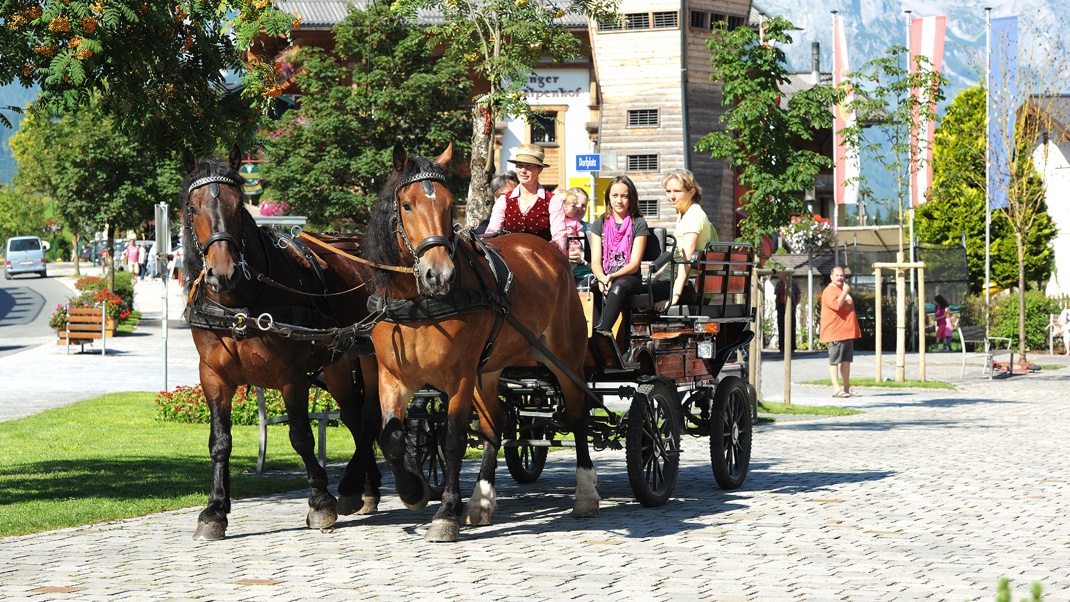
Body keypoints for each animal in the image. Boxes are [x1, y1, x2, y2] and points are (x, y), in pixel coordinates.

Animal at [181, 147, 383, 541]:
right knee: (354, 417)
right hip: (339, 363)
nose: (222, 273)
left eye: (238, 205)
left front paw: (320, 502)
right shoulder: (213, 377)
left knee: (370, 417)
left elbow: (301, 436)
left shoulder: (291, 377)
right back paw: (364, 488)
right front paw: (215, 510)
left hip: (372, 357)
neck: (239, 305)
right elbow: (219, 442)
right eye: (194, 208)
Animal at [361, 144, 599, 541]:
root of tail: (548, 252)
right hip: (488, 373)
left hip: (566, 359)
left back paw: (585, 494)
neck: (418, 301)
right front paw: (413, 491)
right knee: (495, 427)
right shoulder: (392, 377)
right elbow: (391, 437)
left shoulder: (459, 376)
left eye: (448, 205)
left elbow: (453, 439)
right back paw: (481, 499)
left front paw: (445, 513)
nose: (439, 274)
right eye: (406, 205)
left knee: (579, 418)